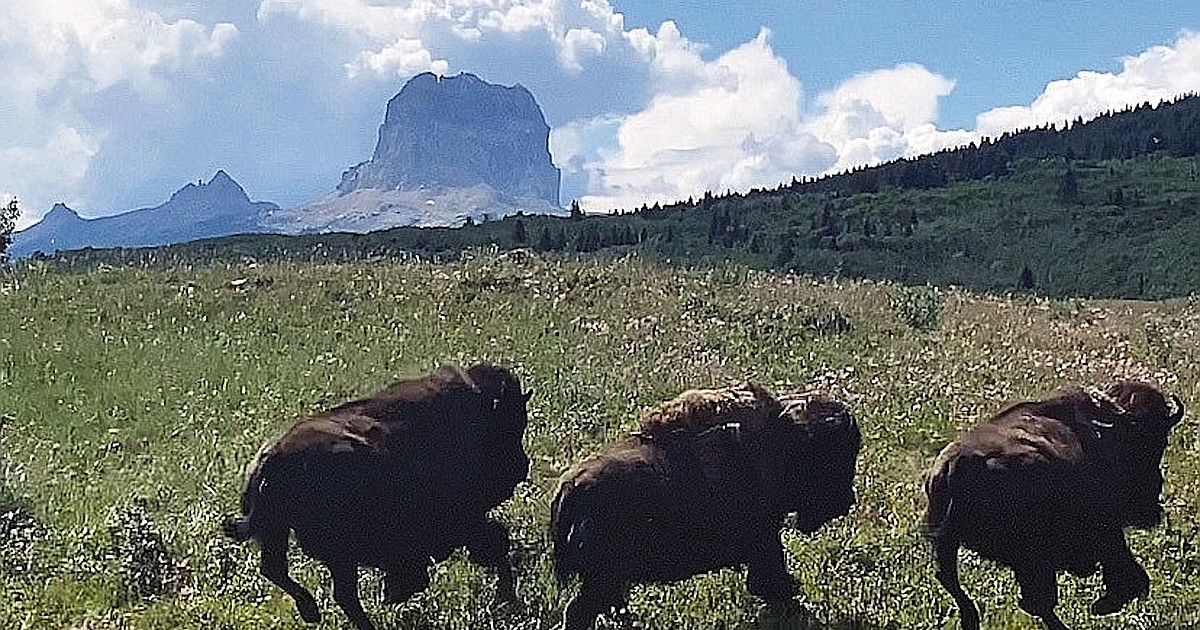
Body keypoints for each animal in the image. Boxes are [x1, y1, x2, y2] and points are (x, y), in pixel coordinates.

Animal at [223, 360, 532, 628]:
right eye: (510, 425)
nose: (521, 467)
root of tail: (272, 458)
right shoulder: (465, 518)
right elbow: (496, 542)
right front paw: (506, 599)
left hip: (282, 534)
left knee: (278, 570)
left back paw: (314, 611)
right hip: (335, 552)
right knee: (339, 593)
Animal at [552, 381, 864, 624]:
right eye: (834, 457)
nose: (847, 501)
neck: (784, 438)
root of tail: (570, 487)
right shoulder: (764, 539)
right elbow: (770, 581)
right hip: (602, 579)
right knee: (580, 610)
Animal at [926, 381, 1180, 624]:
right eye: (1154, 442)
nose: (1154, 501)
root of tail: (956, 466)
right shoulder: (1107, 532)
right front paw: (1103, 605)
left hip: (949, 544)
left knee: (954, 582)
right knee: (1038, 601)